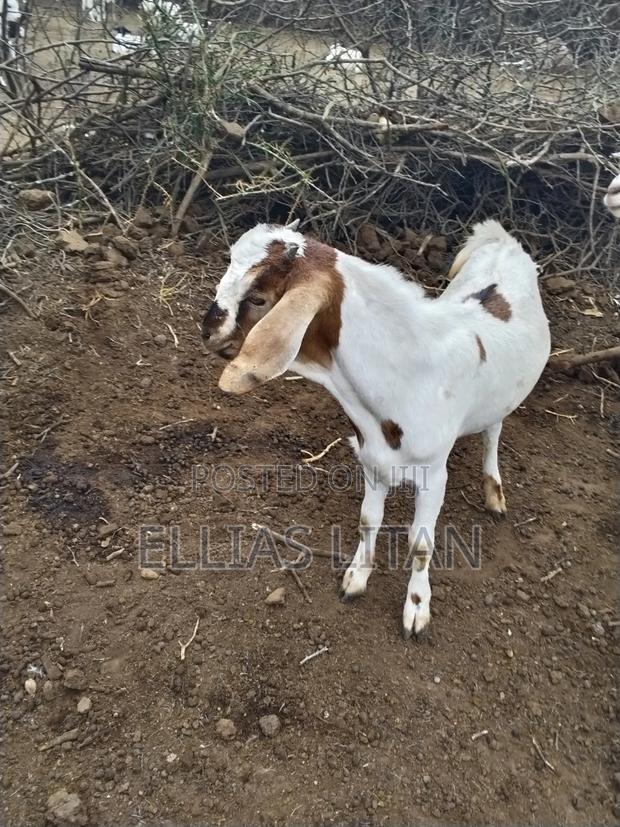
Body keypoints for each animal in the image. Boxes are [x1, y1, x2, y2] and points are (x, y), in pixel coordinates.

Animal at [201, 220, 550, 638]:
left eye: (257, 298)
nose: (207, 331)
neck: (405, 373)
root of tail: (502, 239)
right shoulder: (372, 461)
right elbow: (368, 521)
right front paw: (356, 578)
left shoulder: (434, 474)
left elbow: (421, 543)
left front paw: (416, 608)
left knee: (494, 430)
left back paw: (494, 491)